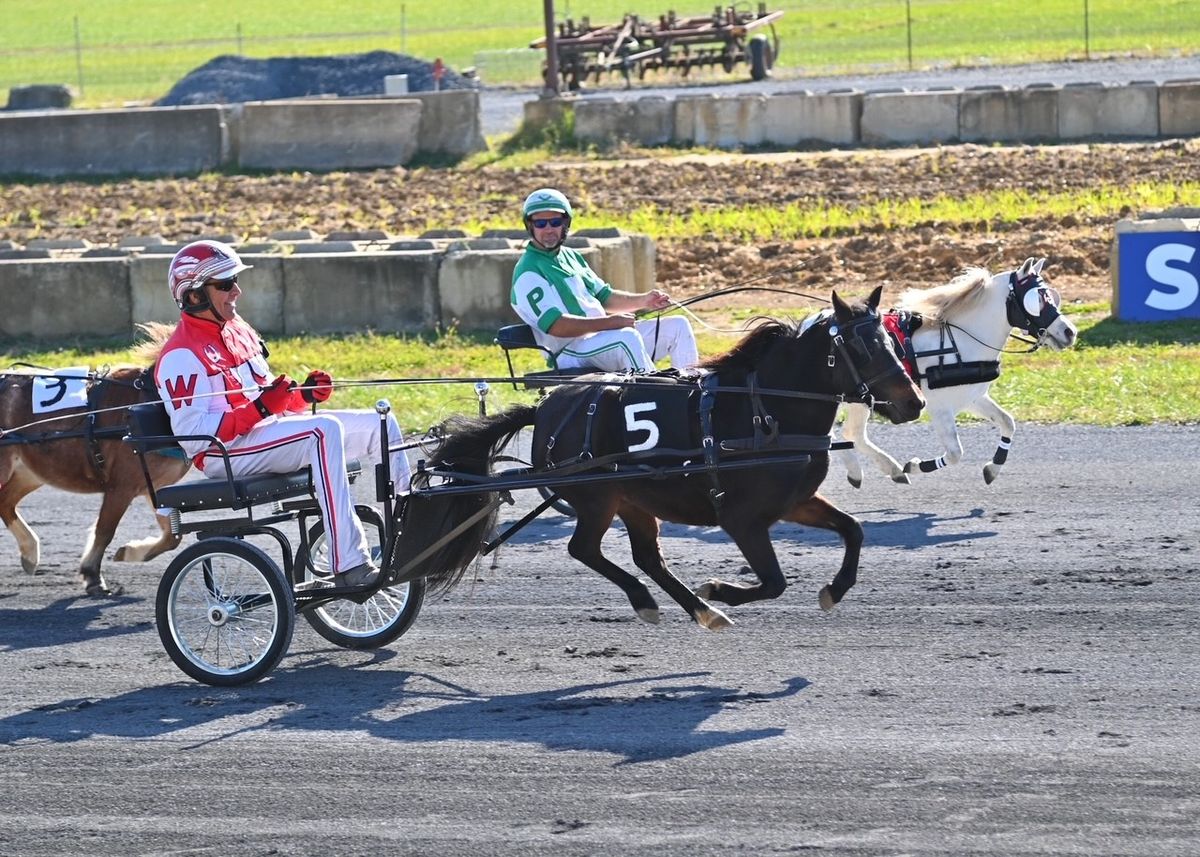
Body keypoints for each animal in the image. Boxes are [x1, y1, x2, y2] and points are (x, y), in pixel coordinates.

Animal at [398, 286, 921, 628]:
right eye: (860, 347)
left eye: (892, 341)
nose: (913, 402)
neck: (763, 410)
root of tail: (548, 406)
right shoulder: (742, 519)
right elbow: (773, 582)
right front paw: (719, 589)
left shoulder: (795, 502)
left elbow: (853, 531)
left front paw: (834, 590)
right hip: (597, 498)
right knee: (584, 549)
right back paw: (660, 601)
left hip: (634, 500)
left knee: (646, 556)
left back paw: (699, 610)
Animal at [840, 255, 1084, 487]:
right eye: (1038, 298)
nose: (1069, 331)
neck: (957, 344)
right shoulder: (940, 408)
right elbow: (955, 453)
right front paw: (916, 465)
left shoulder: (973, 397)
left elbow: (1007, 422)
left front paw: (992, 468)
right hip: (860, 401)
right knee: (853, 433)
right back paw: (887, 469)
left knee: (849, 433)